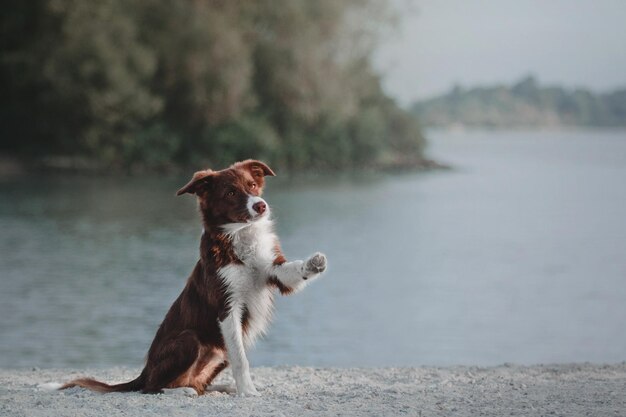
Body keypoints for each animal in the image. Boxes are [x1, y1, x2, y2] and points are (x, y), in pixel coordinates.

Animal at [59, 159, 326, 396]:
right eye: (230, 192)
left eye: (252, 185)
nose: (260, 205)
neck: (240, 237)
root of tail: (143, 373)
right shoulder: (227, 307)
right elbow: (241, 360)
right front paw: (248, 392)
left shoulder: (272, 270)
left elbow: (292, 270)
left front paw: (314, 263)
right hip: (189, 340)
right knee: (153, 387)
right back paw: (181, 391)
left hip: (219, 353)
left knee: (199, 384)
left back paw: (219, 388)